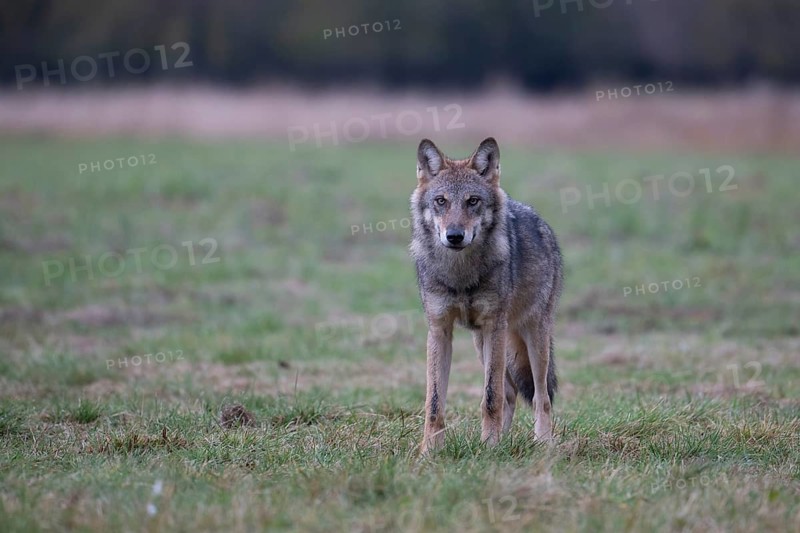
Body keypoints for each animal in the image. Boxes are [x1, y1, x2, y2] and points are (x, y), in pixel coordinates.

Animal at [410, 138, 563, 454]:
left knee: (539, 396)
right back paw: (502, 440)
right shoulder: (439, 330)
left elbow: (490, 397)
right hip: (483, 343)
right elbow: (435, 402)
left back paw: (542, 444)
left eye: (472, 201)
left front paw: (489, 447)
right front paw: (429, 452)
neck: (460, 274)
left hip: (532, 336)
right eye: (441, 201)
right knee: (510, 392)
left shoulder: (495, 326)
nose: (455, 236)